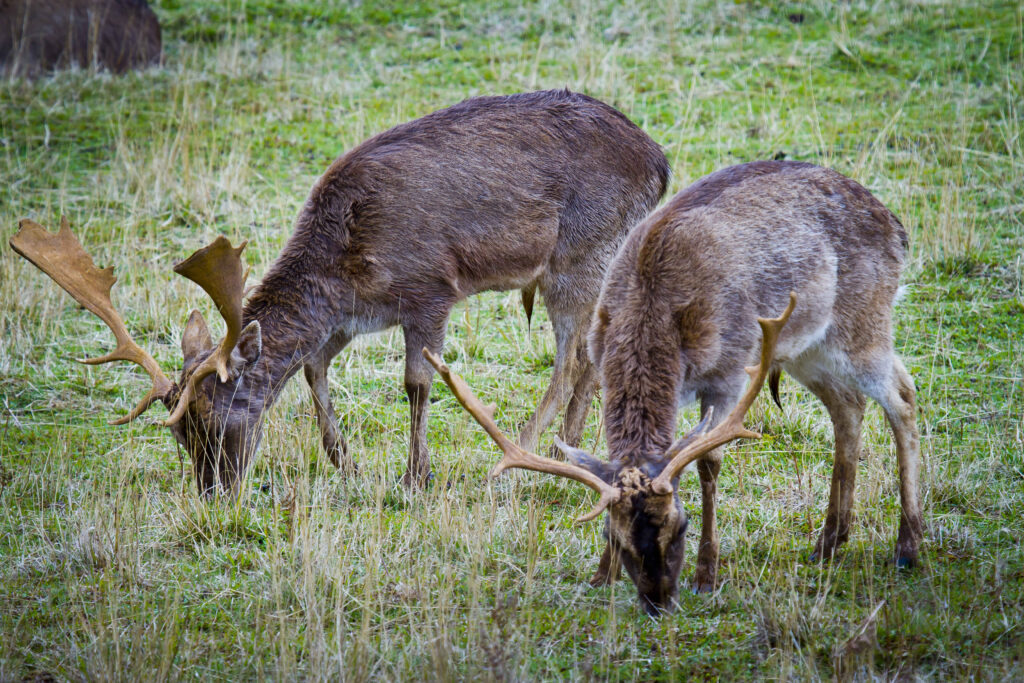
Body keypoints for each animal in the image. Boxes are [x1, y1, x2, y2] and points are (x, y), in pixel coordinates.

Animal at [16, 89, 671, 497]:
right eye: (180, 434)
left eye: (217, 418)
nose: (213, 491)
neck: (345, 268)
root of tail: (660, 162)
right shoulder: (350, 318)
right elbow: (312, 367)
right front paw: (345, 461)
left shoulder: (431, 290)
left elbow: (416, 383)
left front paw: (415, 477)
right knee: (591, 356)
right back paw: (569, 449)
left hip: (580, 252)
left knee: (572, 359)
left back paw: (516, 459)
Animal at [428, 162, 925, 618]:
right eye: (612, 535)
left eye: (680, 525)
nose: (658, 602)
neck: (652, 308)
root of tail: (896, 227)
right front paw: (601, 574)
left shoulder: (729, 374)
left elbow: (708, 462)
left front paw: (707, 574)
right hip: (807, 348)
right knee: (849, 407)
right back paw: (829, 542)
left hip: (863, 321)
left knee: (902, 394)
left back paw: (908, 545)